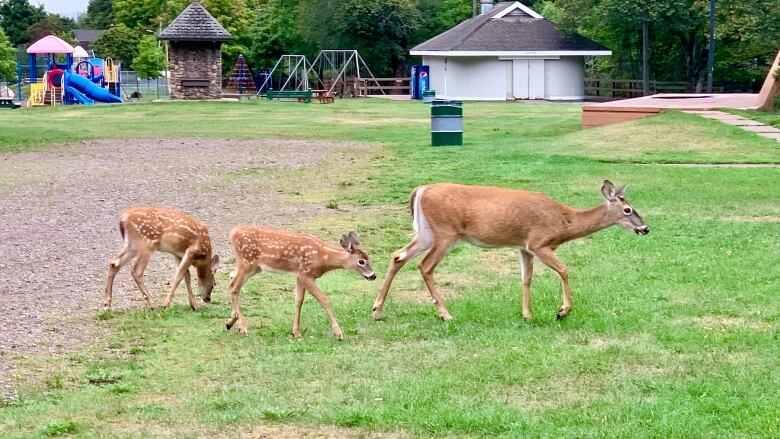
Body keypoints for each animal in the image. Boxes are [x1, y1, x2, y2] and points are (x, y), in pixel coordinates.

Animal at [227, 229, 376, 338]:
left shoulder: (300, 275)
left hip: (253, 267)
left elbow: (299, 301)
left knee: (231, 278)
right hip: (247, 262)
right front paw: (338, 333)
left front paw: (296, 332)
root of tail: (233, 232)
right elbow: (324, 299)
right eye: (361, 261)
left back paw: (230, 322)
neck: (323, 257)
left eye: (368, 257)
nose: (373, 276)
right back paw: (243, 328)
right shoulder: (306, 275)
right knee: (234, 287)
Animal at [374, 182, 648, 324]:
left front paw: (527, 315)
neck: (565, 221)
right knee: (425, 266)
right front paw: (562, 311)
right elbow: (564, 269)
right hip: (445, 233)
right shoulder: (539, 242)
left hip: (426, 233)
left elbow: (526, 279)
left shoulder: (523, 247)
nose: (645, 228)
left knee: (398, 255)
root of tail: (420, 190)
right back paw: (445, 313)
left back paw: (377, 310)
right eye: (628, 209)